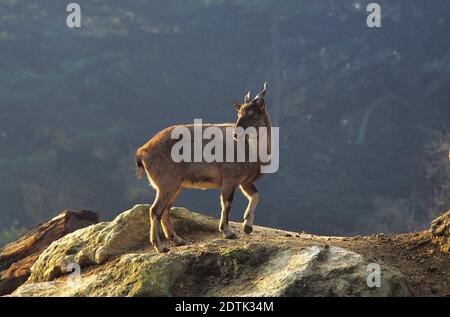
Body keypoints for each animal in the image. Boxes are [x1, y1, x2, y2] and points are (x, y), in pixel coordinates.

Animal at [135, 82, 272, 253]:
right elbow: (226, 204)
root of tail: (143, 150)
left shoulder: (244, 181)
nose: (236, 134)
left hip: (175, 186)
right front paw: (228, 232)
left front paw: (247, 227)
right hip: (166, 183)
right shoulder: (230, 179)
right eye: (239, 113)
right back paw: (160, 246)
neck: (251, 149)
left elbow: (255, 196)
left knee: (165, 210)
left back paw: (178, 240)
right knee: (155, 210)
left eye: (252, 113)